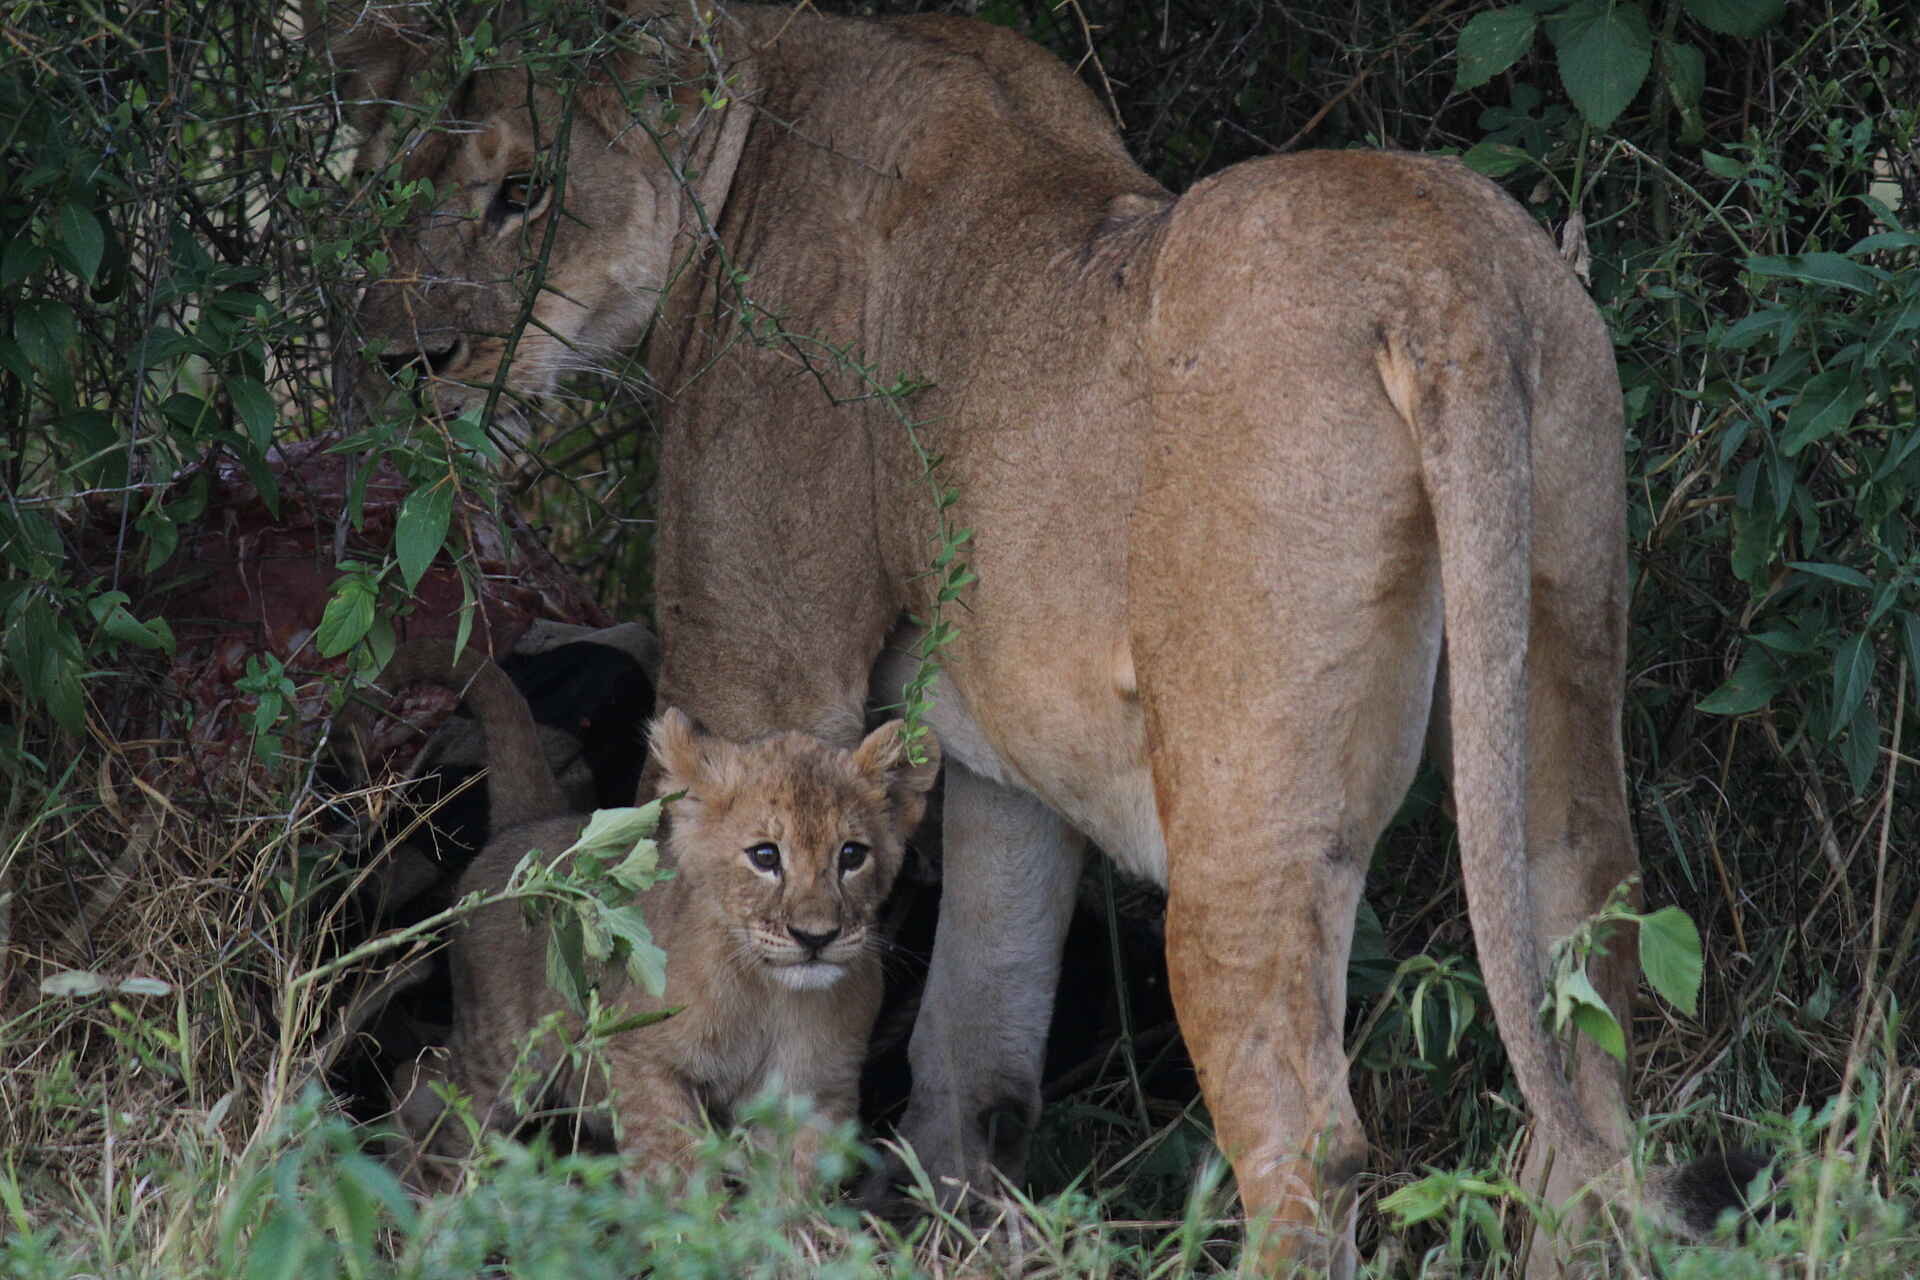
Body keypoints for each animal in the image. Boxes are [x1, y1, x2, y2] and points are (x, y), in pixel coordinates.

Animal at [368, 638, 938, 1188]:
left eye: (852, 856)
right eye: (765, 856)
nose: (814, 937)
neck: (770, 997)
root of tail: (529, 823)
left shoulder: (817, 1093)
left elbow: (790, 1196)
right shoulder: (638, 1056)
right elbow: (676, 1167)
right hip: (504, 1049)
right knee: (442, 1104)